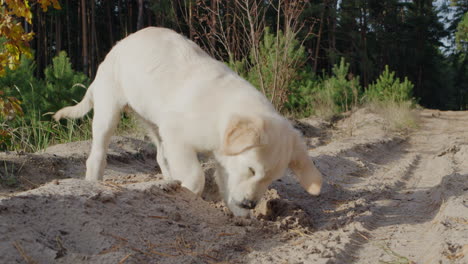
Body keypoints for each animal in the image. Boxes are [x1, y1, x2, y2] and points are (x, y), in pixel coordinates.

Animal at [54, 26, 322, 217]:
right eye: (252, 169)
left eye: (272, 180)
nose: (250, 203)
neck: (221, 112)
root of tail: (115, 49)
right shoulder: (178, 137)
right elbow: (196, 176)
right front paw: (189, 197)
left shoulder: (217, 155)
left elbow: (225, 181)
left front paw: (239, 213)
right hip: (109, 110)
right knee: (97, 153)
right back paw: (93, 183)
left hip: (153, 122)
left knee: (160, 155)